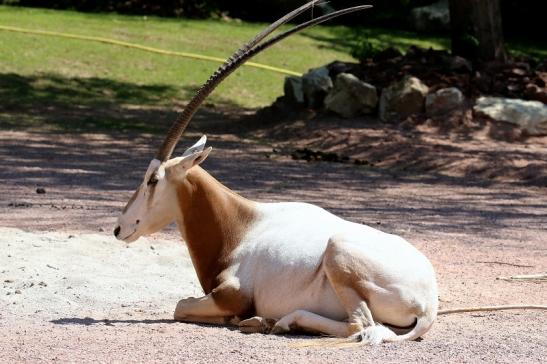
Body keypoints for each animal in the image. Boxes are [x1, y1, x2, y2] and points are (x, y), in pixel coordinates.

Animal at [114, 1, 436, 342]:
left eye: (153, 179)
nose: (119, 228)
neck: (241, 225)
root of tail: (428, 305)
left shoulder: (232, 295)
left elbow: (181, 305)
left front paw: (239, 318)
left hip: (337, 253)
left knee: (360, 325)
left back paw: (279, 321)